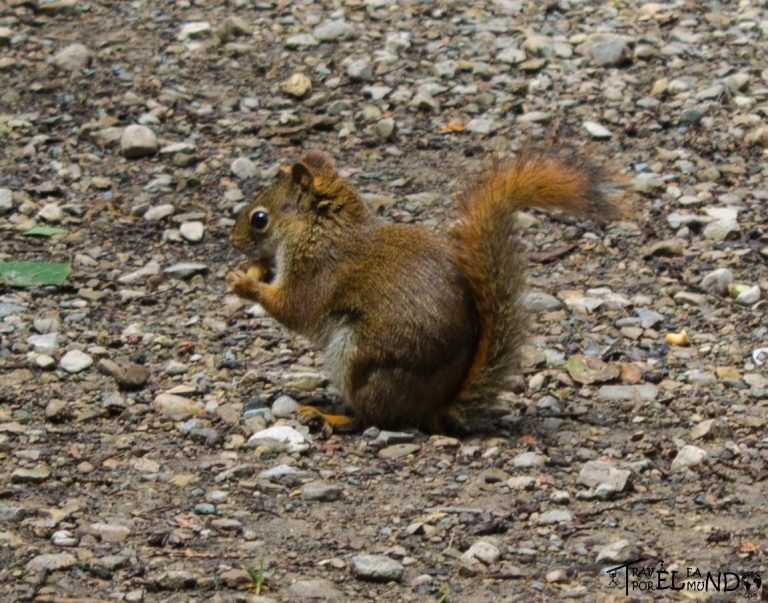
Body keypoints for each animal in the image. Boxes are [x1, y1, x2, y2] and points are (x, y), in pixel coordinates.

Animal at [226, 149, 625, 433]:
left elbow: (295, 309)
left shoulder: (318, 270)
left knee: (373, 418)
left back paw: (333, 417)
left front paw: (243, 282)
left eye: (259, 219)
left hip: (359, 360)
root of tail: (434, 407)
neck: (319, 227)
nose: (232, 241)